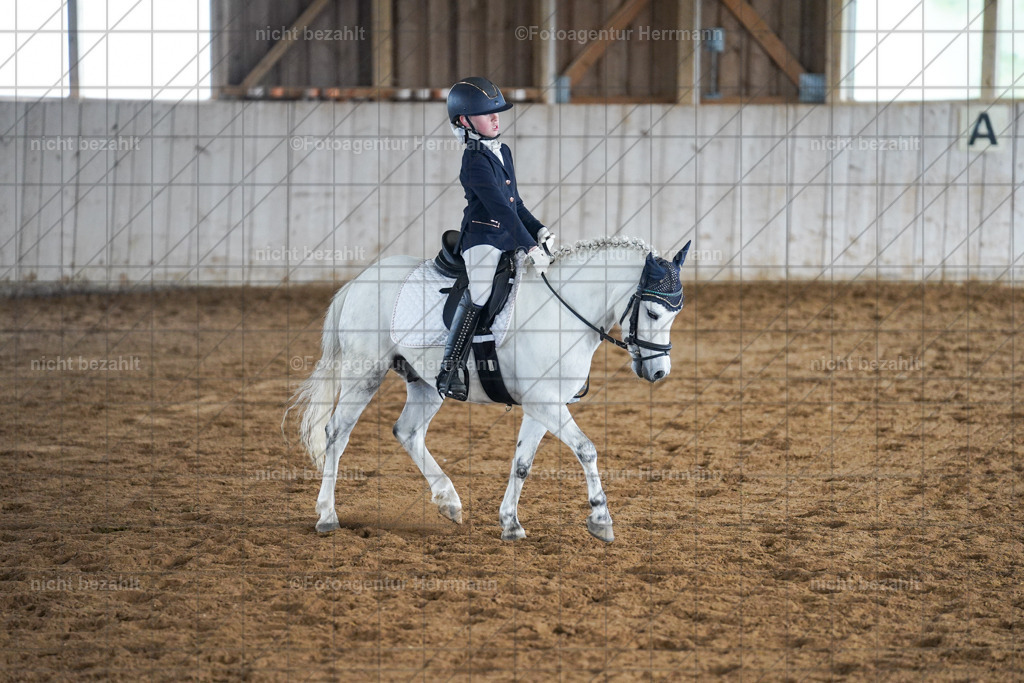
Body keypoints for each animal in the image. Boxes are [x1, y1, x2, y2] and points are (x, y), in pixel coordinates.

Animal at [288, 236, 689, 542]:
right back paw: (327, 516)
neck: (562, 312)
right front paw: (601, 520)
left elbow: (522, 463)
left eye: (675, 314)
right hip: (364, 373)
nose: (659, 372)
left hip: (426, 385)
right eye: (653, 313)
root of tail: (360, 280)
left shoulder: (542, 405)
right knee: (336, 433)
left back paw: (449, 501)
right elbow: (586, 449)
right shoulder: (545, 403)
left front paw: (510, 524)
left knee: (407, 431)